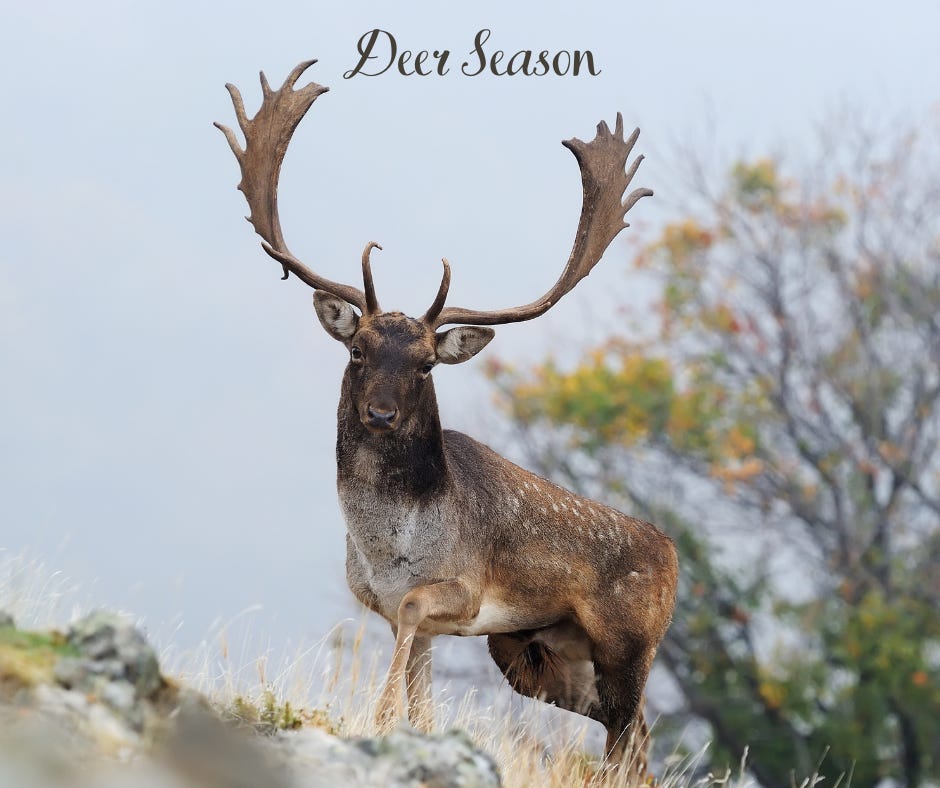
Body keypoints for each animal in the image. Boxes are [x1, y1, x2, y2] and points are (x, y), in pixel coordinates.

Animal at [216, 59, 679, 774]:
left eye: (427, 365)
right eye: (357, 348)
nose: (380, 413)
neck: (386, 548)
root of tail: (676, 558)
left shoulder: (459, 592)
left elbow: (412, 624)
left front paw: (379, 720)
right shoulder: (392, 608)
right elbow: (423, 693)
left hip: (629, 645)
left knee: (631, 742)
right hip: (542, 656)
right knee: (633, 740)